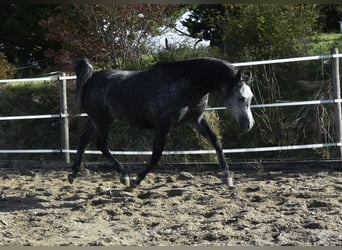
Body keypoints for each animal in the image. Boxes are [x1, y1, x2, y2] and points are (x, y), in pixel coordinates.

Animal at [68, 57, 254, 188]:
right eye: (241, 97)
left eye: (250, 97)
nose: (249, 125)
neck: (187, 85)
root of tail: (91, 79)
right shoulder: (164, 126)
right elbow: (156, 155)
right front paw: (136, 180)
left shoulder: (196, 120)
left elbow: (216, 142)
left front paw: (228, 178)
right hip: (103, 121)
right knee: (101, 145)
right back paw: (124, 176)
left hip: (97, 120)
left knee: (84, 140)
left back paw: (73, 174)